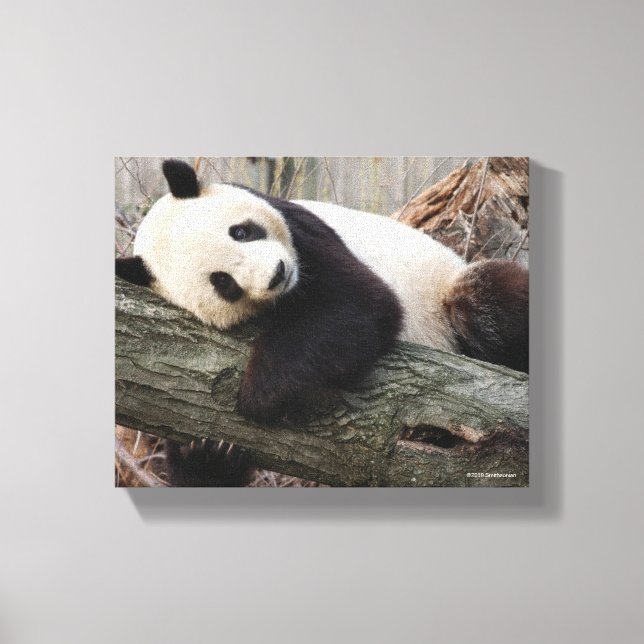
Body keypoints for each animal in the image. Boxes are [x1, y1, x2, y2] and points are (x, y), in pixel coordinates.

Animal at [116, 159, 528, 486]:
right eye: (222, 282)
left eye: (241, 231)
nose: (277, 274)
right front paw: (207, 452)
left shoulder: (303, 232)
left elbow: (361, 305)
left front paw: (254, 395)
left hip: (444, 292)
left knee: (487, 299)